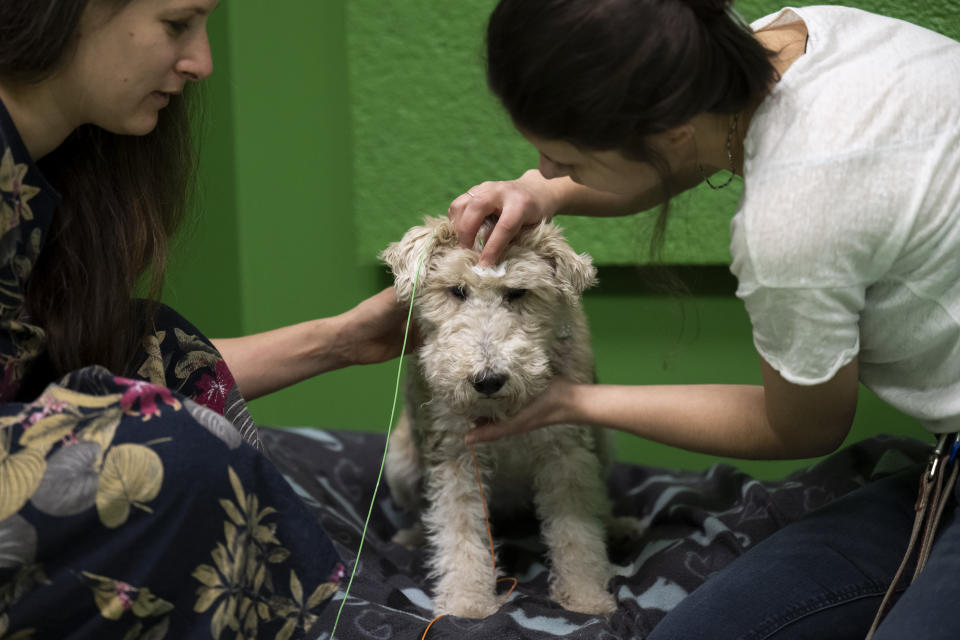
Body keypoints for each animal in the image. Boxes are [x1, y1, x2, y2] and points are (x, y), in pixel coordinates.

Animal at [378, 216, 632, 620]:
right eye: (457, 290)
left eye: (517, 293)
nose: (488, 380)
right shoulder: (456, 455)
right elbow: (460, 530)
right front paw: (467, 604)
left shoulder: (566, 453)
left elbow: (577, 533)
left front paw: (586, 598)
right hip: (400, 463)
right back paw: (413, 536)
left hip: (602, 443)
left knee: (599, 504)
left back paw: (619, 526)